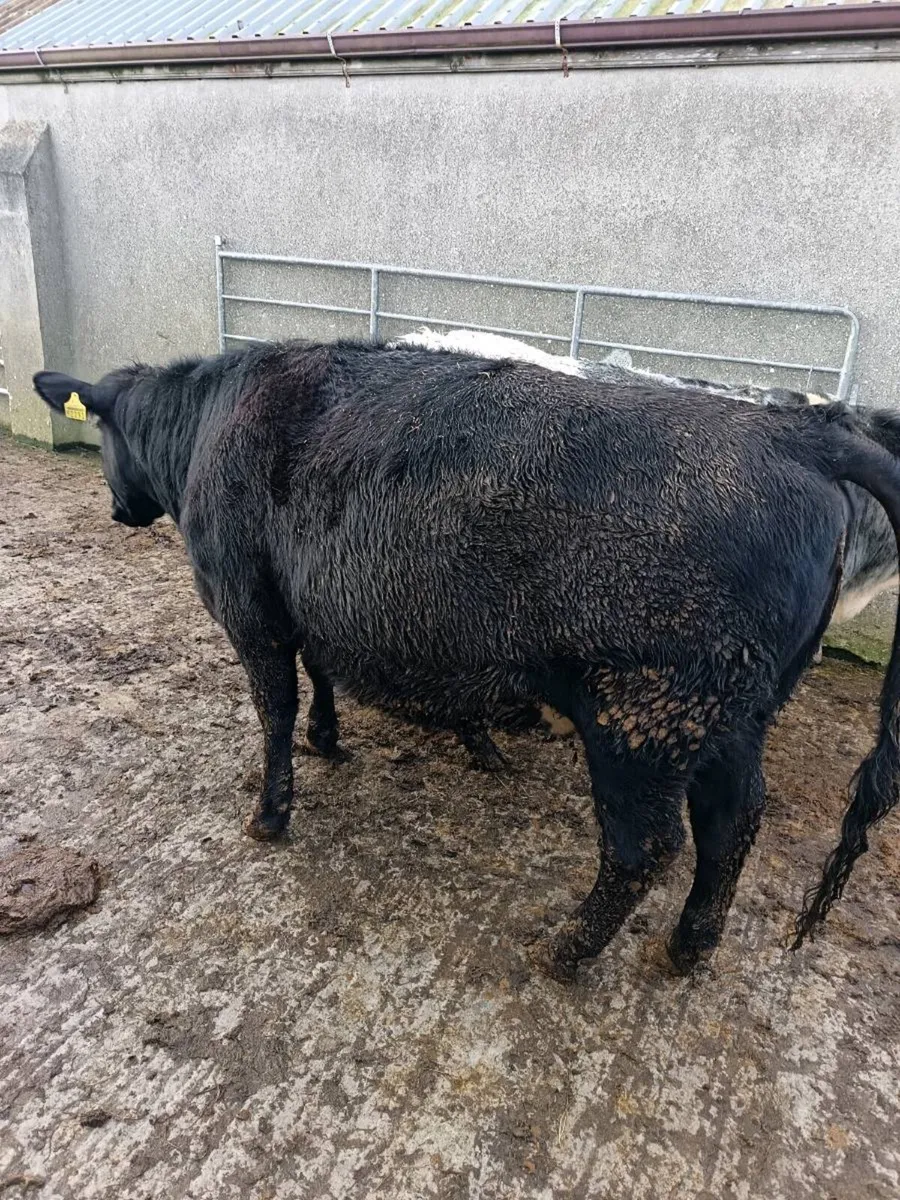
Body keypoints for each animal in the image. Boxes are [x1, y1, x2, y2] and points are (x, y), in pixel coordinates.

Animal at [33, 343, 900, 980]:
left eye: (103, 439)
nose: (119, 510)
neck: (210, 424)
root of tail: (795, 433)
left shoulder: (252, 612)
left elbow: (274, 710)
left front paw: (271, 812)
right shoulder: (316, 606)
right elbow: (321, 675)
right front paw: (328, 737)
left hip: (645, 716)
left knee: (646, 848)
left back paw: (565, 951)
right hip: (734, 715)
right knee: (732, 825)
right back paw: (687, 948)